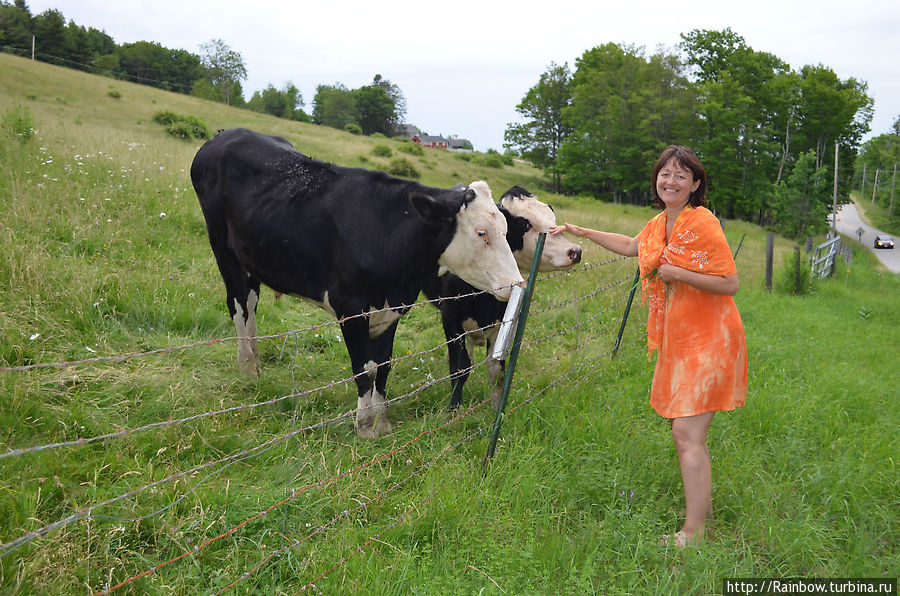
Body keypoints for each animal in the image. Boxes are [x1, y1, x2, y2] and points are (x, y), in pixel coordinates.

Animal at [192, 129, 524, 438]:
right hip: (224, 251)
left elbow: (383, 366)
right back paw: (247, 367)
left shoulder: (391, 309)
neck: (387, 234)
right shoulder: (349, 308)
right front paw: (364, 426)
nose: (517, 283)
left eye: (507, 230)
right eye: (481, 232)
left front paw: (383, 422)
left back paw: (257, 364)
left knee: (251, 303)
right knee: (239, 305)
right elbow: (364, 368)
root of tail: (229, 134)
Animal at [424, 186, 584, 410]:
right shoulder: (450, 318)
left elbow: (496, 369)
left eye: (553, 219)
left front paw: (496, 408)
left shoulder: (503, 321)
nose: (575, 251)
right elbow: (459, 368)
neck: (484, 297)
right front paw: (455, 408)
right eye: (525, 224)